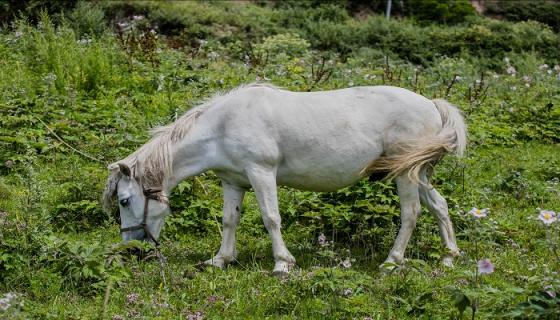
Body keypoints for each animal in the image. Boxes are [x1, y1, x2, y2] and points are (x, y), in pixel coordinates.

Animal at [103, 83, 466, 276]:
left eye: (124, 200)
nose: (131, 249)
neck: (223, 126)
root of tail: (432, 105)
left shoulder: (261, 172)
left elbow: (271, 218)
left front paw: (282, 264)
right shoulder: (232, 182)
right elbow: (229, 221)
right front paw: (220, 259)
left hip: (405, 175)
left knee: (411, 214)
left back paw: (392, 262)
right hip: (419, 174)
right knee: (439, 206)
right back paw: (449, 257)